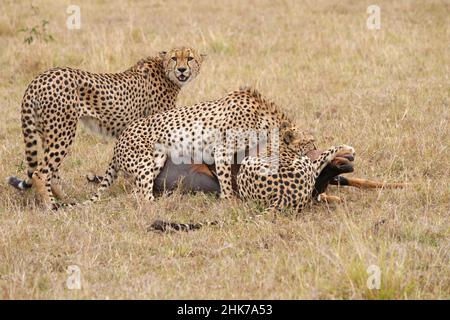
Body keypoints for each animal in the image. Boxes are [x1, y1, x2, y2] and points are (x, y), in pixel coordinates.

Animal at [8, 46, 206, 209]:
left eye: (189, 58)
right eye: (174, 58)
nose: (182, 69)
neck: (165, 71)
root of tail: (39, 78)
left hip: (48, 133)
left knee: (52, 171)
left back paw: (64, 199)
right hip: (62, 132)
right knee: (41, 173)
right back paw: (50, 205)